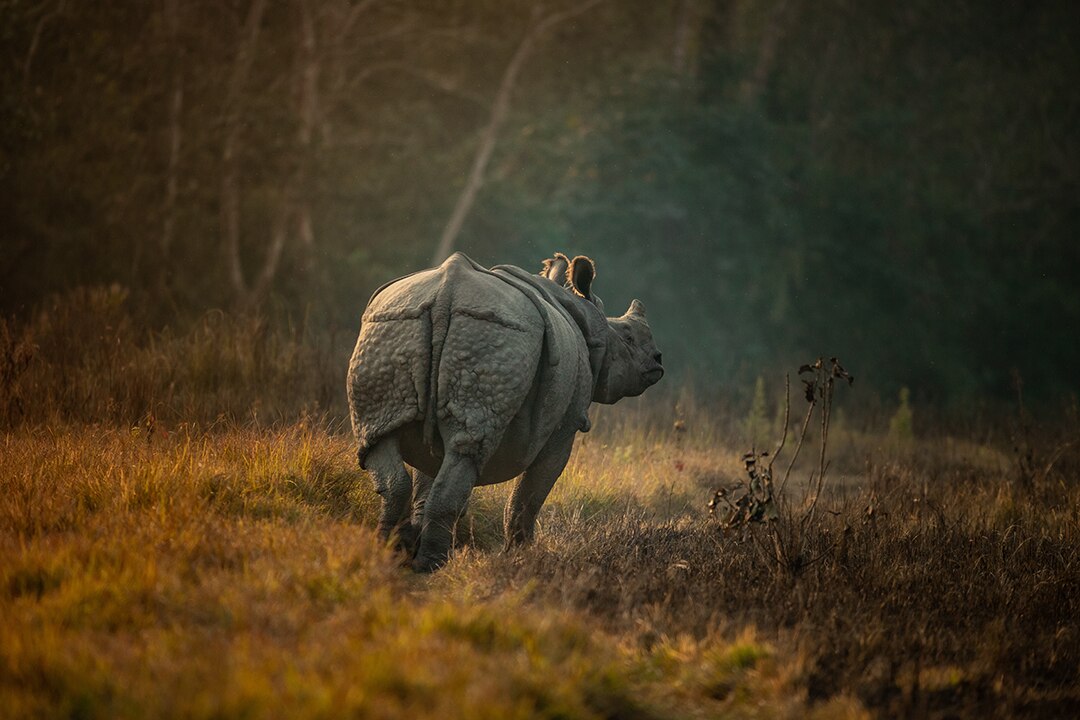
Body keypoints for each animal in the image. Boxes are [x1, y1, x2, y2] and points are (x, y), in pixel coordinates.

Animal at [347, 251, 663, 572]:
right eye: (628, 338)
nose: (658, 360)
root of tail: (446, 293)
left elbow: (427, 475)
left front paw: (416, 537)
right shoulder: (565, 428)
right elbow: (530, 494)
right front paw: (522, 557)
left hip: (393, 325)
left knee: (379, 442)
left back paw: (391, 555)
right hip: (493, 333)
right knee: (468, 451)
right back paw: (431, 565)